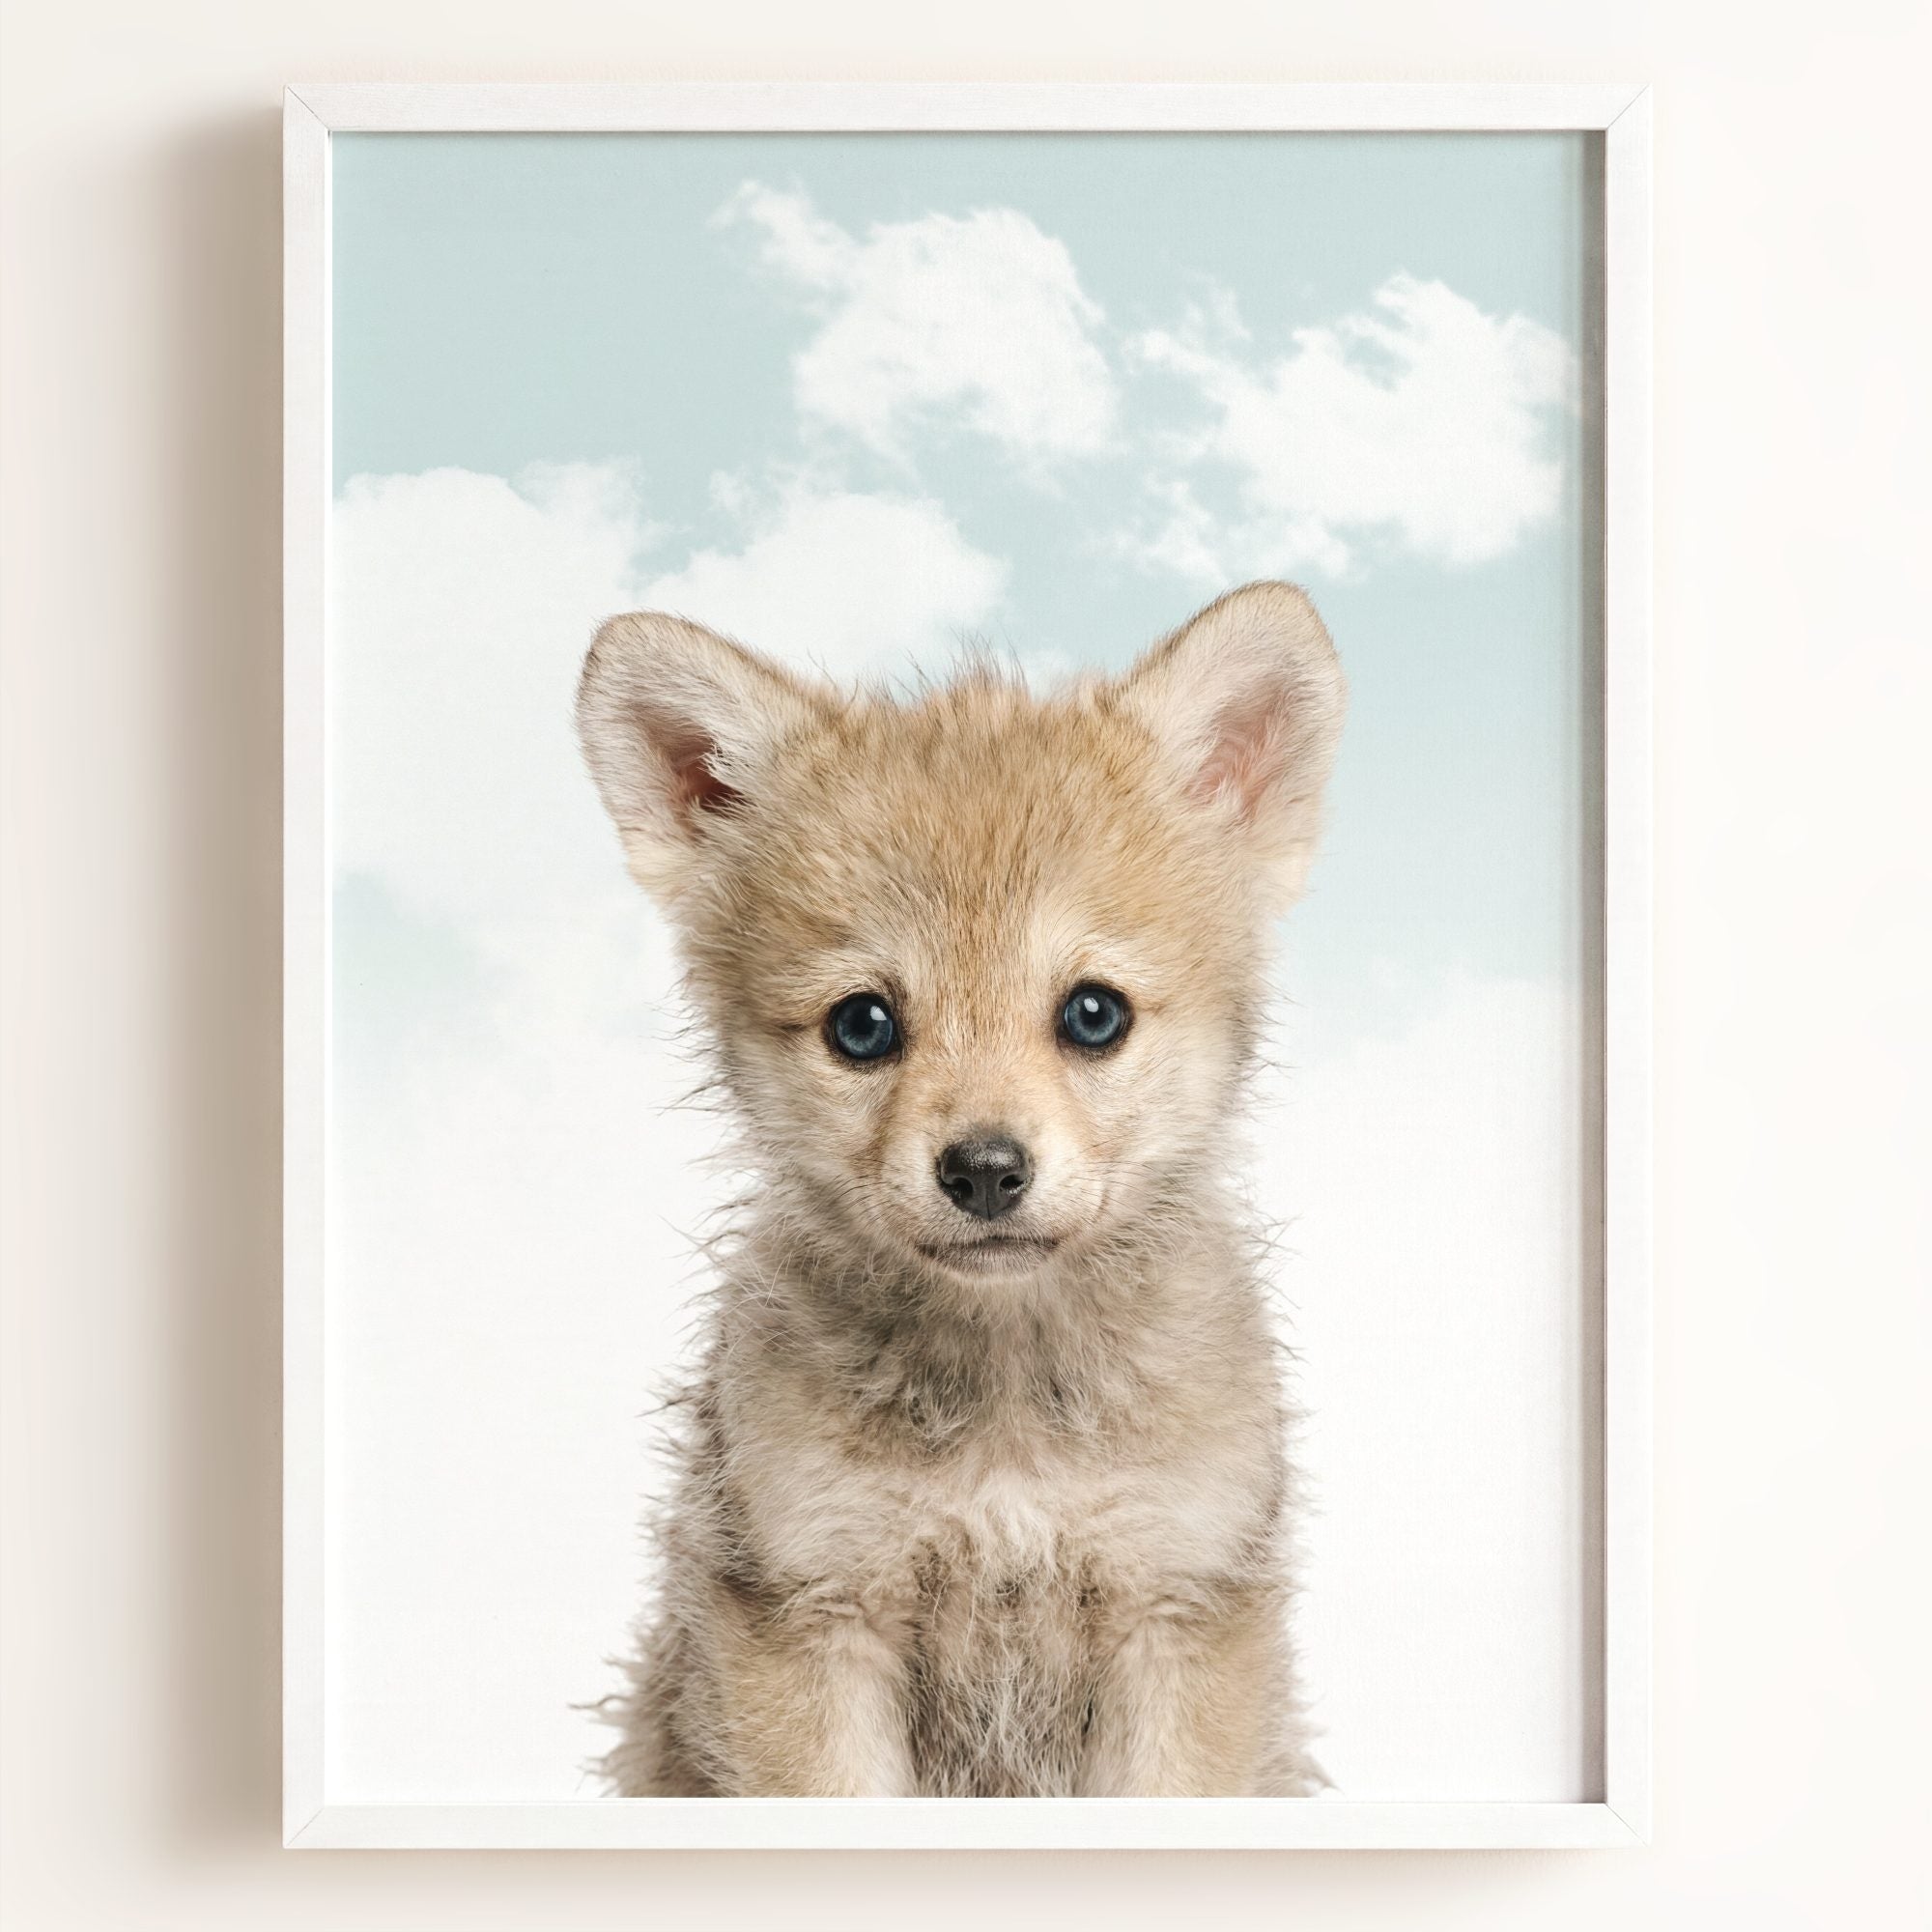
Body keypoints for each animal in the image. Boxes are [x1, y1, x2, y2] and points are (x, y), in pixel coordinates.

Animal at [576, 581, 1345, 1797]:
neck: (1006, 1418)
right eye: (861, 1024)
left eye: (1092, 1012)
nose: (984, 1168)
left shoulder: (1176, 1607)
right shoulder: (811, 1611)